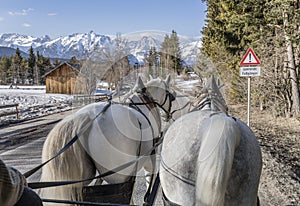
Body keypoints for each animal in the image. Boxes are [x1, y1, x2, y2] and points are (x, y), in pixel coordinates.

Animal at [39, 75, 176, 204]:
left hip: (83, 175)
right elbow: (149, 183)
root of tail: (85, 117)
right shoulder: (149, 158)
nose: (168, 115)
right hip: (119, 175)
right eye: (170, 95)